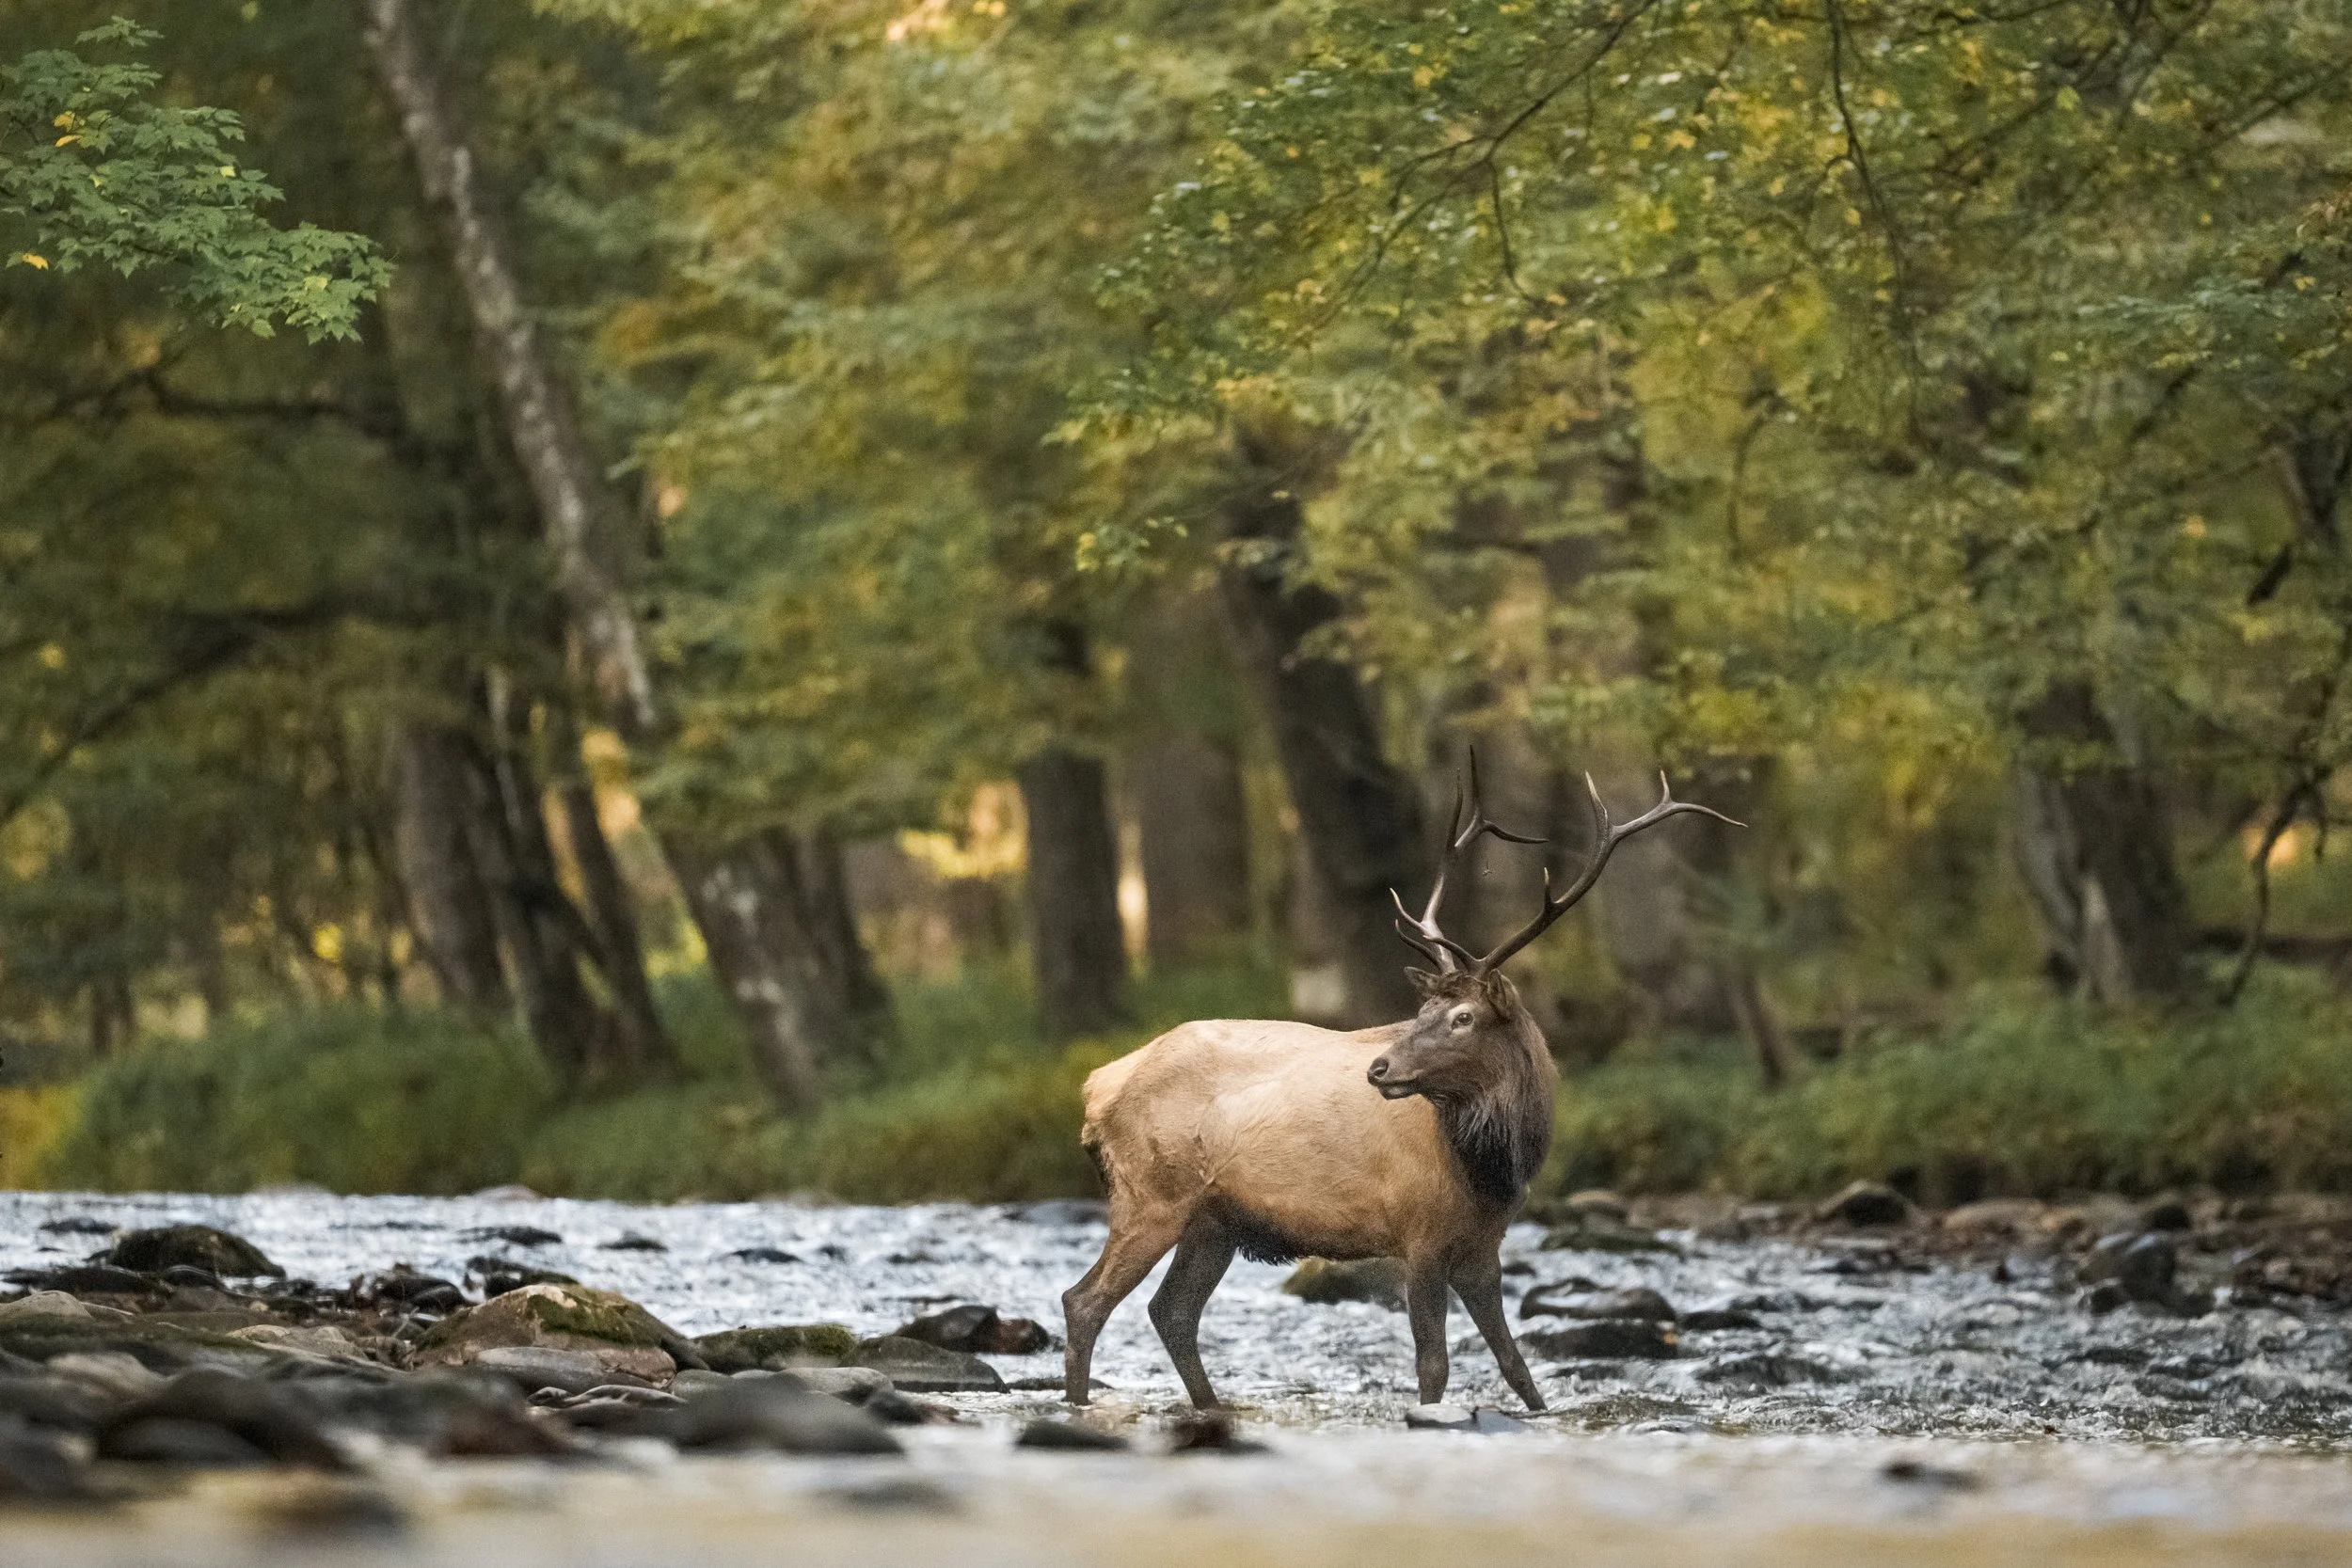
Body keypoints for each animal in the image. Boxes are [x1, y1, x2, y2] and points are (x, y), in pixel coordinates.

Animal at [1061, 761, 1737, 1413]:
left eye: (1461, 1017)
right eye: (1422, 1010)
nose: (1380, 1068)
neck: (1492, 1165)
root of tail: (1097, 1084)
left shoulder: (1484, 1244)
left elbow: (1516, 1365)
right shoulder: (1420, 1233)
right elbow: (1433, 1365)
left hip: (1215, 1220)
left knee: (1171, 1309)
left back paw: (1208, 1406)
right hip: (1152, 1194)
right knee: (1084, 1300)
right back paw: (1080, 1402)